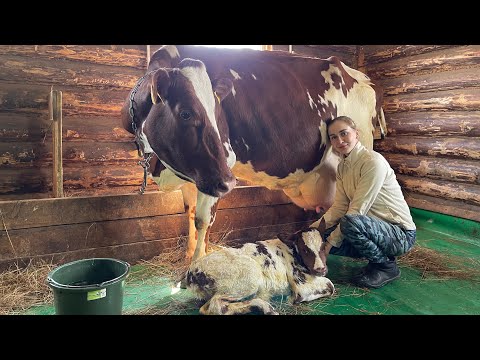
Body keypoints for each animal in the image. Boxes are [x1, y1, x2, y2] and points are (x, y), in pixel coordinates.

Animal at [121, 46, 386, 262]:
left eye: (219, 113)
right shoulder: (194, 170)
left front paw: (196, 265)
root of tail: (362, 78)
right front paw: (187, 258)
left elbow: (203, 220)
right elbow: (190, 213)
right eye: (185, 113)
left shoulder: (221, 164)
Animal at [186, 218, 336, 314]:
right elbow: (330, 285)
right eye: (305, 249)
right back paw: (267, 308)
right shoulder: (301, 285)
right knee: (215, 306)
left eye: (323, 246)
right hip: (248, 278)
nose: (320, 269)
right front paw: (294, 299)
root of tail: (191, 273)